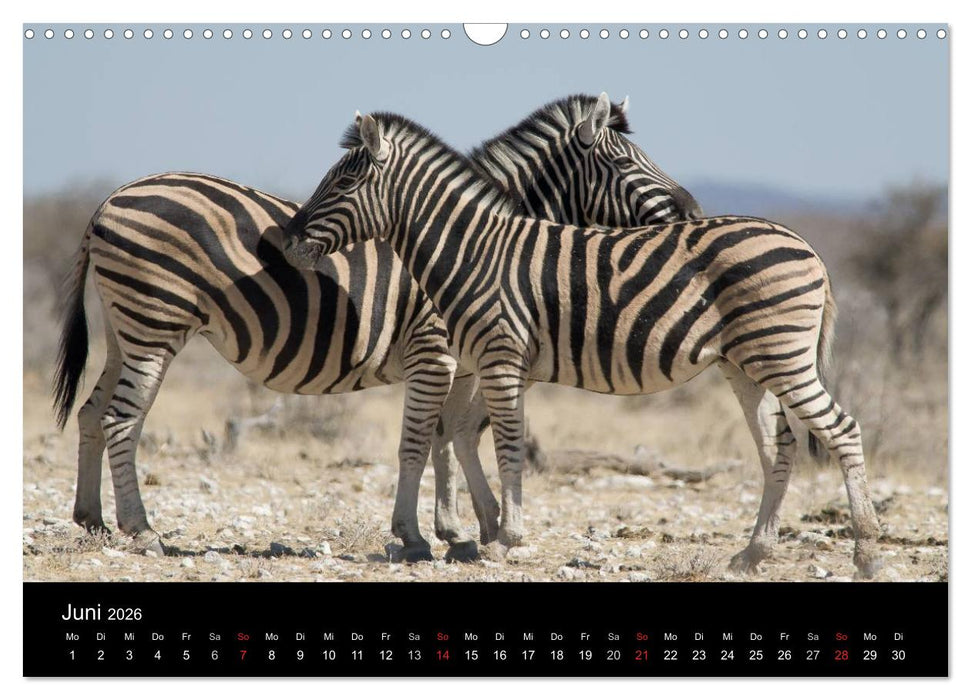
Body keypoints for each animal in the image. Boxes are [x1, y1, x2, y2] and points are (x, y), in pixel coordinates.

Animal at [52, 94, 699, 560]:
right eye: (623, 161)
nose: (693, 211)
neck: (479, 241)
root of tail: (111, 199)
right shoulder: (437, 351)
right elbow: (427, 438)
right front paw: (430, 534)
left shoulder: (467, 358)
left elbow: (452, 436)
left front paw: (468, 528)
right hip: (154, 327)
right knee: (122, 419)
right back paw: (141, 531)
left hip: (127, 329)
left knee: (91, 411)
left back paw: (92, 520)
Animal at [281, 110, 884, 578]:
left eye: (342, 186)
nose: (287, 240)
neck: (473, 251)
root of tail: (808, 247)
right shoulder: (489, 363)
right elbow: (461, 435)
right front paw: (480, 532)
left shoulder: (499, 358)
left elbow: (503, 444)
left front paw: (503, 539)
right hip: (747, 363)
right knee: (778, 446)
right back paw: (753, 554)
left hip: (782, 355)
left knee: (843, 430)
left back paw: (866, 556)